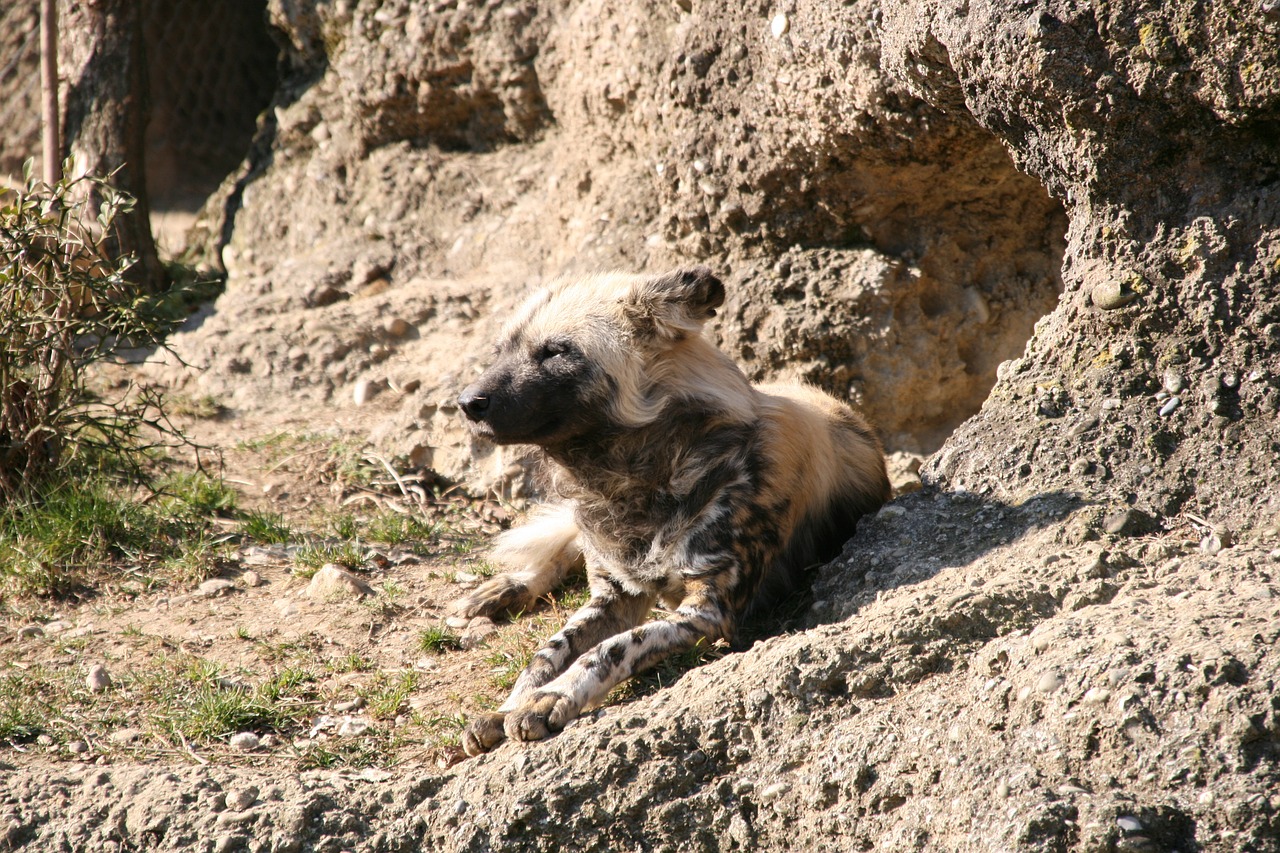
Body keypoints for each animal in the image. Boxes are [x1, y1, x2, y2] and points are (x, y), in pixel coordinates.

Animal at [453, 266, 890, 753]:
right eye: (499, 353)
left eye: (555, 352)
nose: (467, 402)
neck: (637, 481)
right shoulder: (612, 598)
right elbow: (547, 653)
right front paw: (509, 705)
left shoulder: (707, 613)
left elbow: (608, 650)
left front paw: (550, 698)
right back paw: (501, 589)